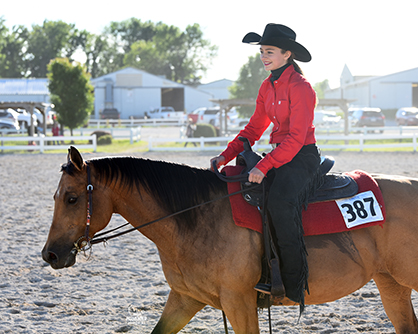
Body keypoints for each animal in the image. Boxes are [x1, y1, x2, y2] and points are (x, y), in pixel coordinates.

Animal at [40, 147, 418, 332]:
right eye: (55, 196)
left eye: (72, 198)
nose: (50, 255)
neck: (195, 217)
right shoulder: (186, 298)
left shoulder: (240, 302)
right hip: (391, 283)